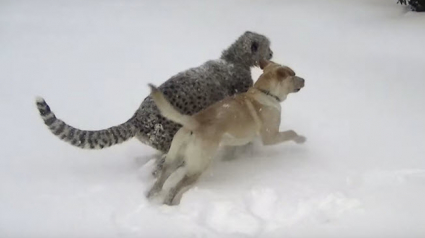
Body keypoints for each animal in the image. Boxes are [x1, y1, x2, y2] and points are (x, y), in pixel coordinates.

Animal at [147, 59, 304, 205]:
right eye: (293, 74)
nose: (304, 80)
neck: (265, 92)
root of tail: (194, 122)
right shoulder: (271, 136)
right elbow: (291, 133)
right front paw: (301, 139)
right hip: (197, 167)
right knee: (175, 188)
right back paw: (169, 203)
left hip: (173, 159)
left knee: (160, 181)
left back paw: (150, 197)